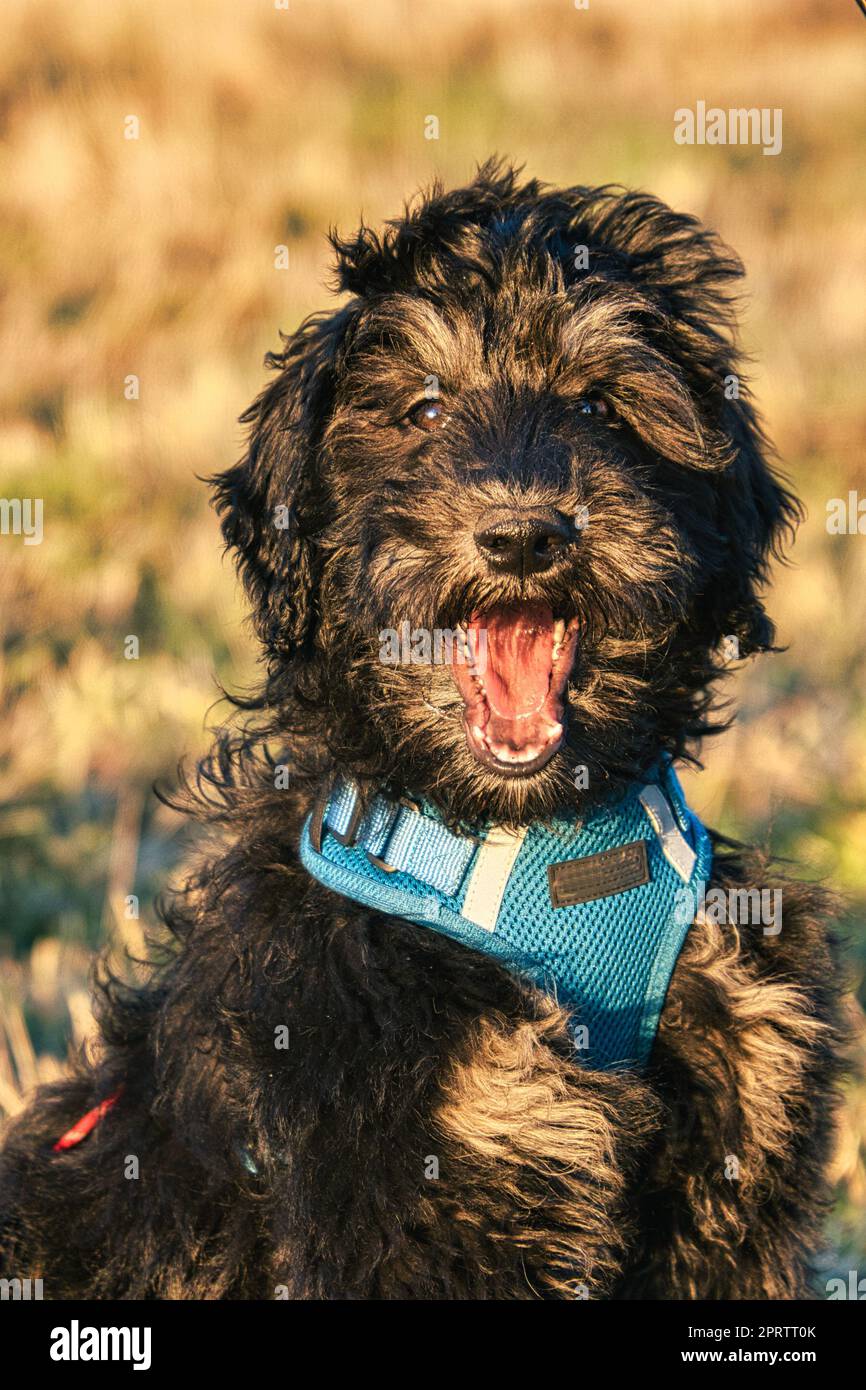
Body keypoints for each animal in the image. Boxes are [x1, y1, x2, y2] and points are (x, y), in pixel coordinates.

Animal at [0, 162, 845, 1301]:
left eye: (599, 405)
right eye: (425, 408)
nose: (524, 534)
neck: (532, 845)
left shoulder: (743, 1124)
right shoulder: (414, 1172)